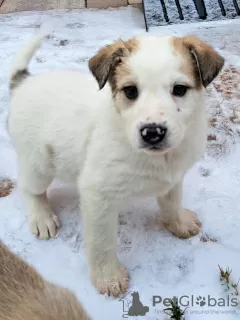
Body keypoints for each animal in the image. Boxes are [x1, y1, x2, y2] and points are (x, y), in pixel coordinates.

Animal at [8, 31, 224, 296]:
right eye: (130, 91)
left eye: (180, 89)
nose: (153, 133)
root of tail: (24, 83)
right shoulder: (98, 195)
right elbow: (102, 242)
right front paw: (108, 278)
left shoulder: (174, 178)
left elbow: (172, 203)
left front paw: (179, 224)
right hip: (39, 164)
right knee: (29, 187)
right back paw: (42, 218)